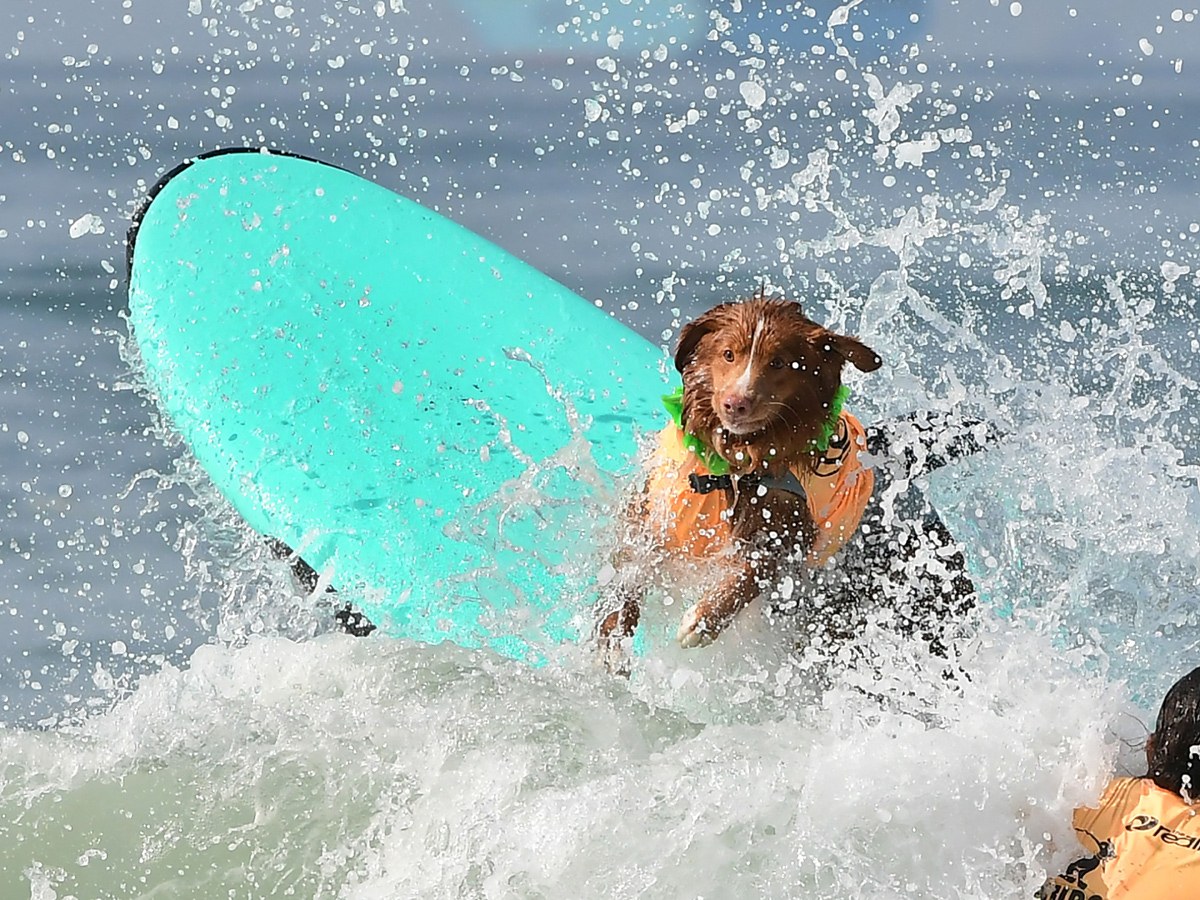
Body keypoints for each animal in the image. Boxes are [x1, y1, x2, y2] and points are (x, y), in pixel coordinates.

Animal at [597, 297, 883, 662]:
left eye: (779, 363)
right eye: (728, 354)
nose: (736, 404)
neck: (736, 462)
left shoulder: (791, 530)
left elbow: (752, 572)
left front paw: (704, 619)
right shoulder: (652, 512)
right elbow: (631, 570)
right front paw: (614, 632)